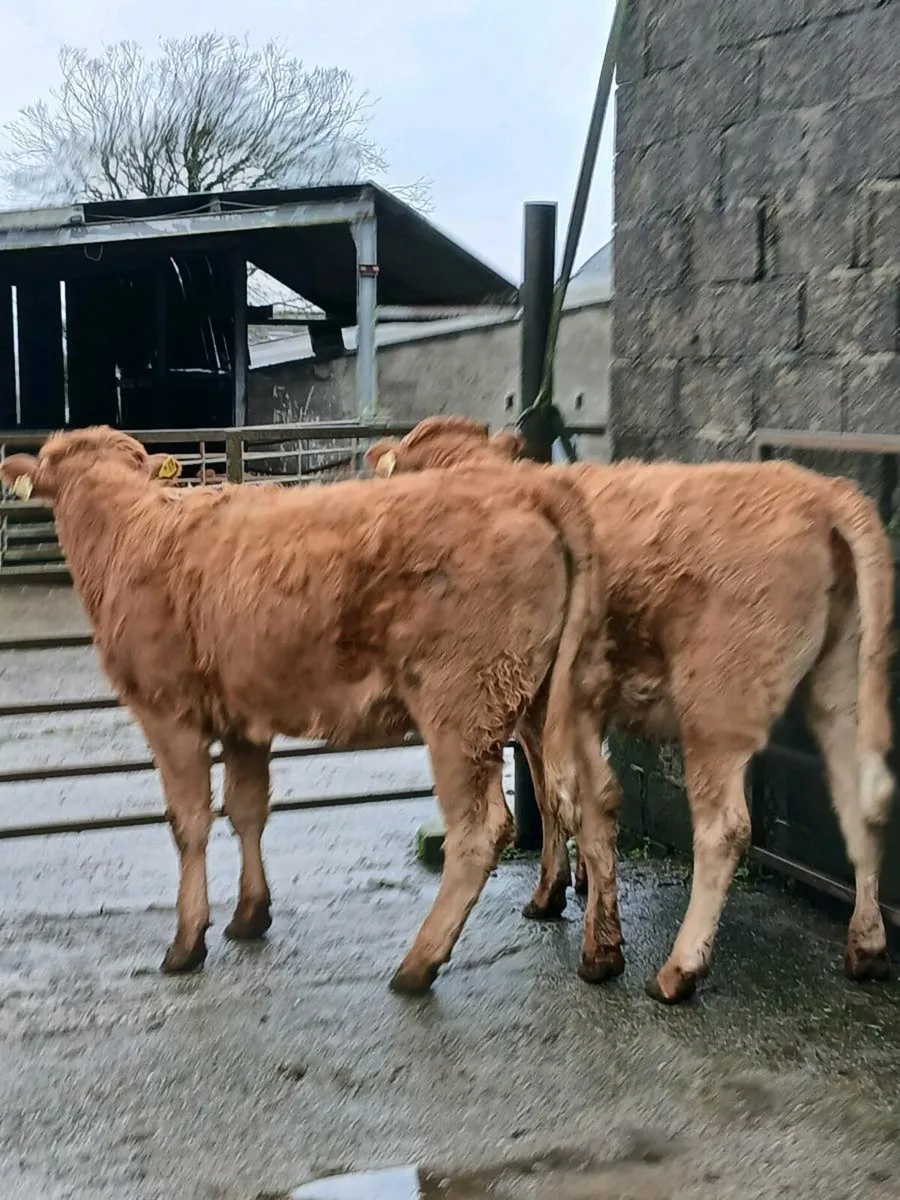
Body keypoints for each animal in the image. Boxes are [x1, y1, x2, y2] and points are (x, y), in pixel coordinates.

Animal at [0, 426, 616, 994]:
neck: (126, 527)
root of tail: (526, 490)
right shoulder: (243, 715)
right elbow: (247, 809)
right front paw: (251, 914)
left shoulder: (168, 712)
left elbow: (189, 822)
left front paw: (186, 941)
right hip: (557, 701)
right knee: (588, 798)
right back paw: (602, 952)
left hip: (462, 705)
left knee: (480, 829)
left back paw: (418, 964)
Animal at [364, 415, 896, 1004]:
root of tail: (824, 492)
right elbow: (572, 801)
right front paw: (571, 894)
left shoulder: (549, 708)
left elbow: (574, 802)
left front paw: (590, 934)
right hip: (840, 685)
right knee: (860, 804)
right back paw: (867, 947)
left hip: (716, 705)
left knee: (725, 829)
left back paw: (679, 970)